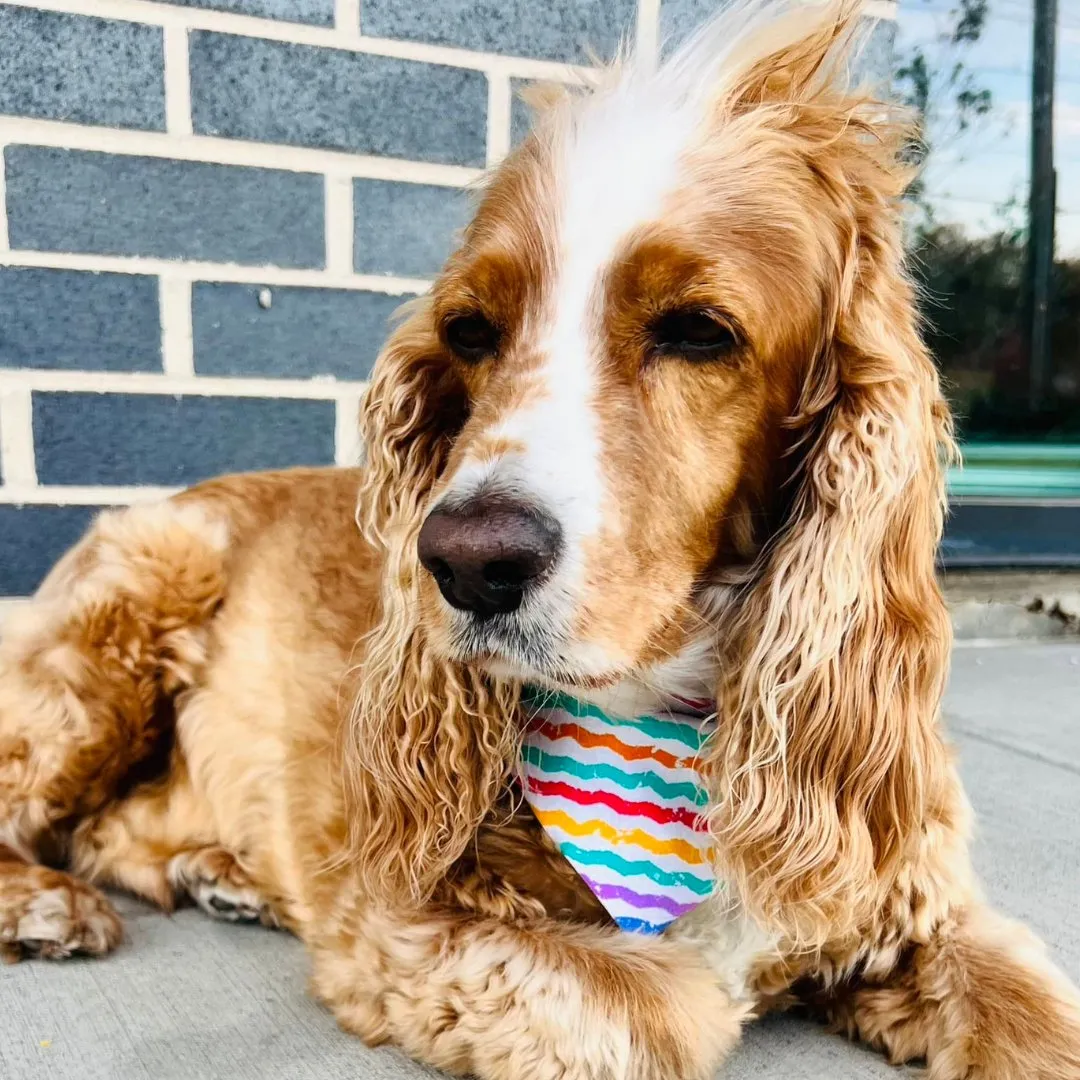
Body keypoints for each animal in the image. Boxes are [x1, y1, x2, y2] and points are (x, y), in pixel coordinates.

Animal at [2, 4, 1080, 1075]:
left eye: (699, 330)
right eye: (471, 332)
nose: (466, 561)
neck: (675, 713)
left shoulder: (912, 898)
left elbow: (1038, 1013)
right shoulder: (405, 926)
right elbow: (675, 1004)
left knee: (110, 828)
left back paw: (216, 872)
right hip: (127, 610)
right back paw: (48, 904)